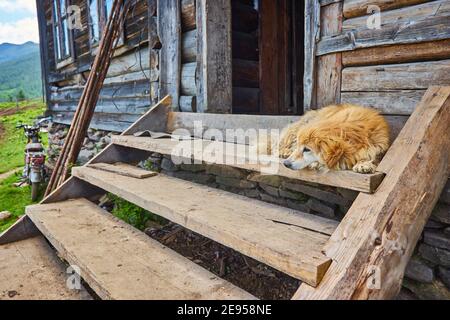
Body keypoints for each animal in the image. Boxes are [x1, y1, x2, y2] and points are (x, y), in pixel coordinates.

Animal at [258, 104, 392, 174]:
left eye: (307, 149)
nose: (286, 164)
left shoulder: (379, 146)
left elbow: (376, 157)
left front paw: (364, 163)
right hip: (296, 129)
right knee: (277, 146)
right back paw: (284, 151)